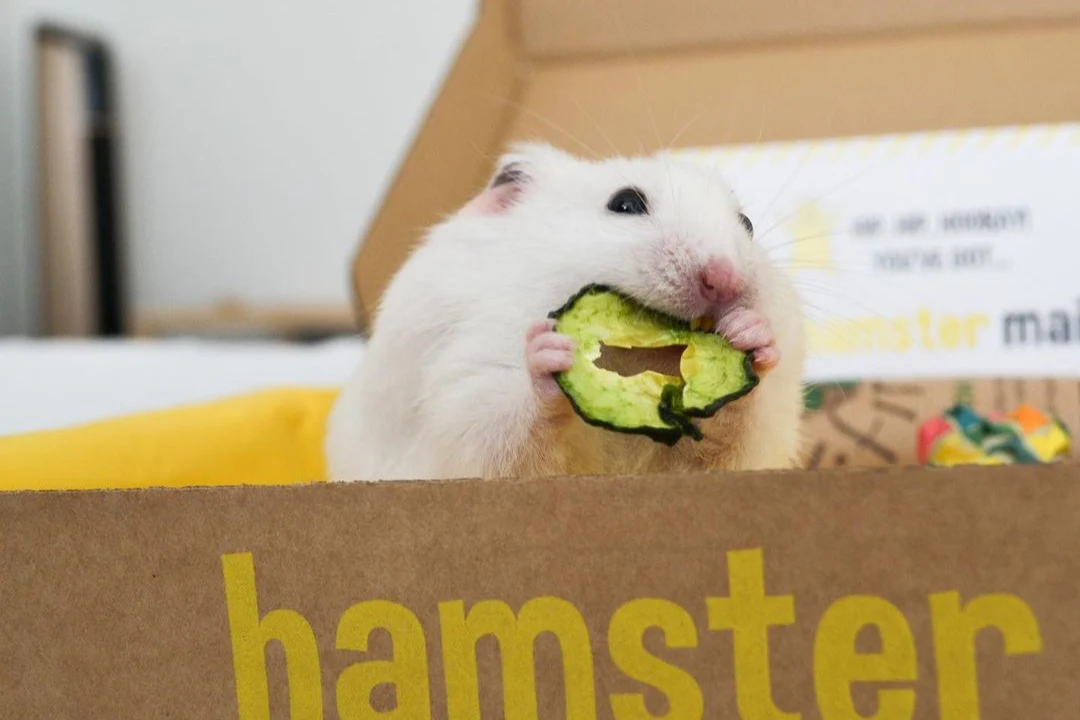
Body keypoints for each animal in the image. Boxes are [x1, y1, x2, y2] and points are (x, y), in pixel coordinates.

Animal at [325, 141, 806, 482]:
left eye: (747, 224)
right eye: (626, 203)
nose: (725, 279)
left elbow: (731, 432)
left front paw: (751, 333)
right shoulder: (464, 393)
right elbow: (506, 425)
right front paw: (549, 352)